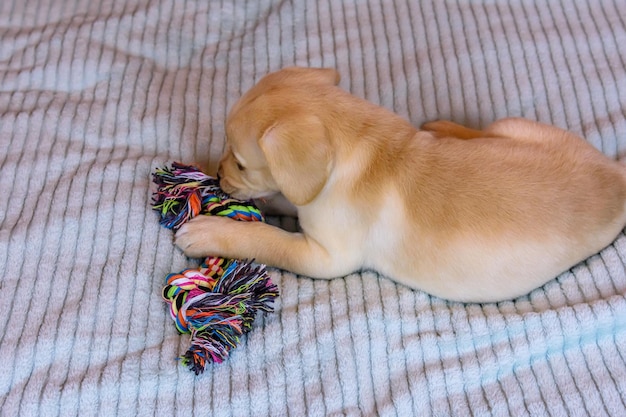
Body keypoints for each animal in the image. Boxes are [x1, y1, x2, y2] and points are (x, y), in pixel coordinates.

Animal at [173, 68, 624, 302]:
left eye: (242, 163)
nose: (217, 178)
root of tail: (615, 171)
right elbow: (285, 197)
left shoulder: (326, 258)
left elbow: (268, 238)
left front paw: (211, 230)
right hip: (513, 125)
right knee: (485, 132)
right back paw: (442, 127)